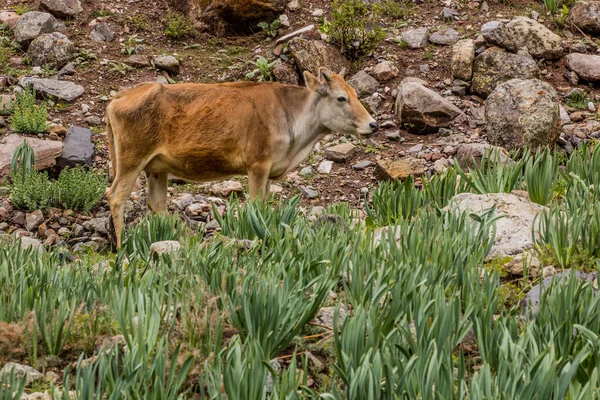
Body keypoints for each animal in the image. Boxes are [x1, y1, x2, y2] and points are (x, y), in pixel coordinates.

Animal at [105, 67, 378, 245]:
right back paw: (122, 247)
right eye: (341, 98)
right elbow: (255, 206)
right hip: (131, 160)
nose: (373, 124)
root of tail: (121, 95)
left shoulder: (269, 170)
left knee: (157, 203)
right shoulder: (257, 165)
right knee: (116, 196)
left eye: (355, 94)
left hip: (156, 168)